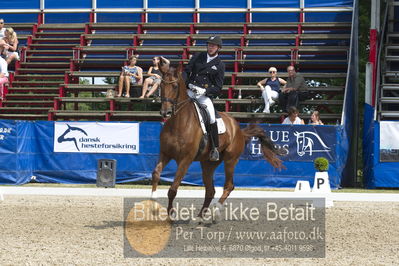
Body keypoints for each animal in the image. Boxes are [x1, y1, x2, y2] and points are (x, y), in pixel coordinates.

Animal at [151, 58, 284, 218]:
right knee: (210, 190)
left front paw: (171, 213)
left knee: (229, 186)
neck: (179, 122)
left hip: (230, 160)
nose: (165, 112)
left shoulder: (185, 160)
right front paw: (153, 201)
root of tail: (239, 130)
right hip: (208, 164)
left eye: (175, 86)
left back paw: (214, 211)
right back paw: (201, 216)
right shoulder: (165, 154)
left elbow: (172, 189)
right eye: (161, 85)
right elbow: (156, 174)